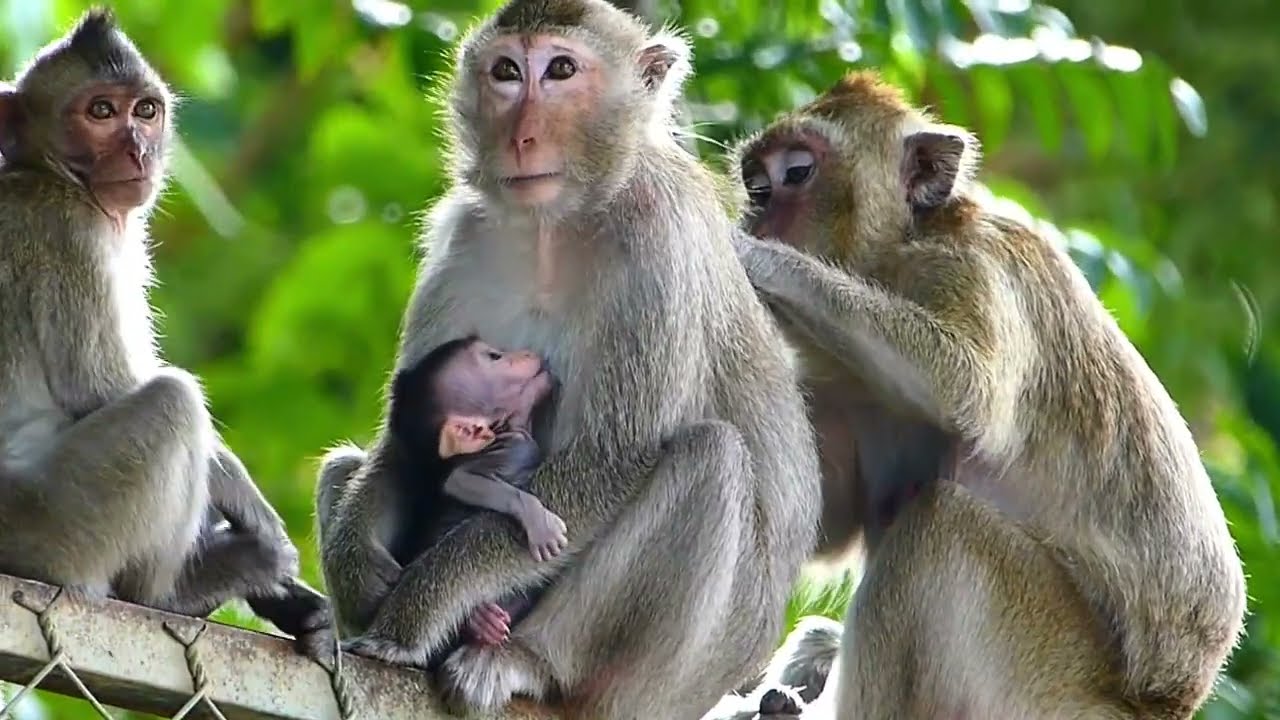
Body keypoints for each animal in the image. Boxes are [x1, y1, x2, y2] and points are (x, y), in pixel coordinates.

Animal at [0, 7, 331, 661]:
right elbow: (100, 389)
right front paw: (241, 499)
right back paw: (173, 593)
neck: (49, 173)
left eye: (145, 110)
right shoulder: (70, 232)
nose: (137, 148)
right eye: (101, 111)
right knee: (172, 401)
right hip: (52, 523)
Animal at [383, 334, 565, 653]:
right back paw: (481, 623)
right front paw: (539, 522)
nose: (527, 352)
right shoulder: (515, 449)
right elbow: (459, 480)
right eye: (495, 357)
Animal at [727, 70, 1247, 719]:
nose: (757, 210)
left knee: (942, 527)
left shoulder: (972, 269)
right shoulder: (848, 388)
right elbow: (819, 516)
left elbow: (963, 387)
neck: (897, 252)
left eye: (797, 172)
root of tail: (1171, 703)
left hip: (1044, 681)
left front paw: (750, 257)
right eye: (755, 180)